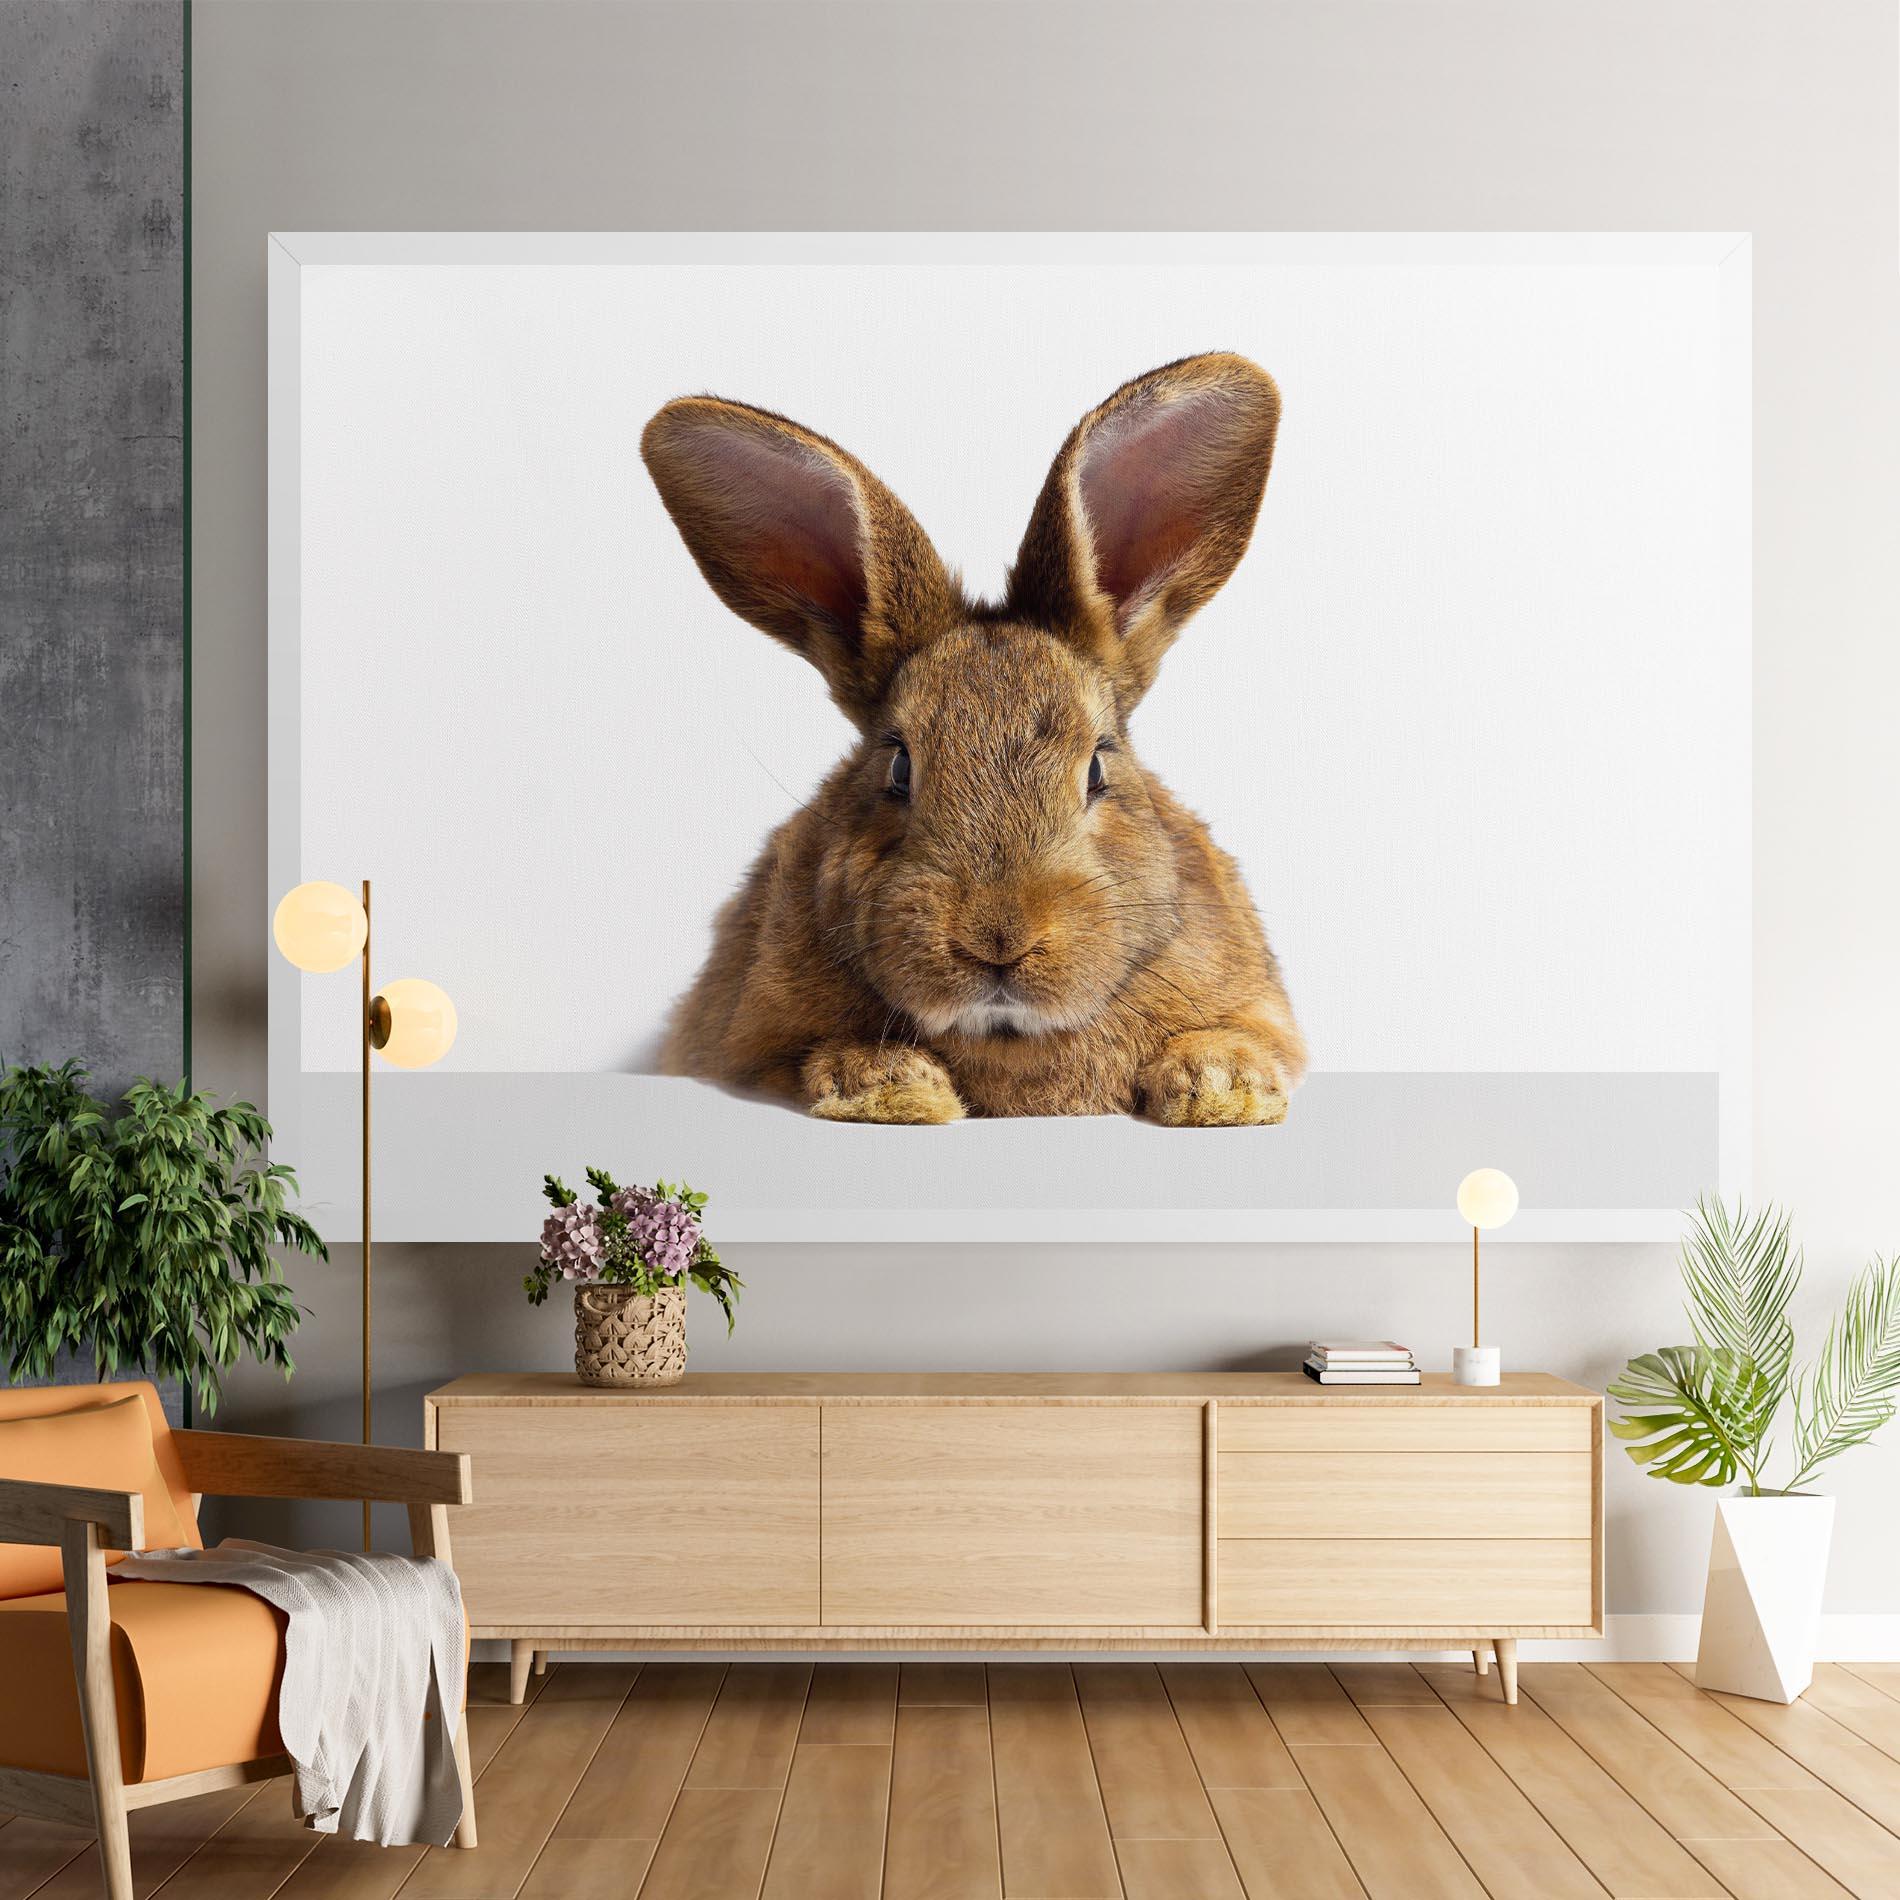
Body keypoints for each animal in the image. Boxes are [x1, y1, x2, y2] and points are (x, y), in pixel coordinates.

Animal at [640, 351, 1305, 1125]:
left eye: (1097, 769)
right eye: (898, 768)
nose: (997, 941)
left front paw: (1220, 1085)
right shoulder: (746, 1046)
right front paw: (891, 1085)